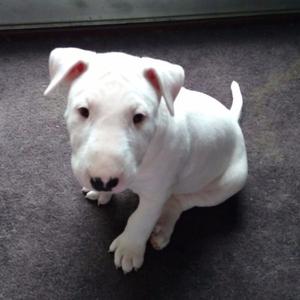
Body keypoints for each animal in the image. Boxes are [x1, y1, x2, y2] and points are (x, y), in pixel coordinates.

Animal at [43, 47, 247, 274]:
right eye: (83, 111)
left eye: (139, 117)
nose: (102, 182)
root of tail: (232, 120)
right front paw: (101, 193)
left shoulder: (156, 192)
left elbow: (141, 218)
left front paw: (129, 249)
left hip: (230, 183)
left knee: (180, 201)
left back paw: (163, 228)